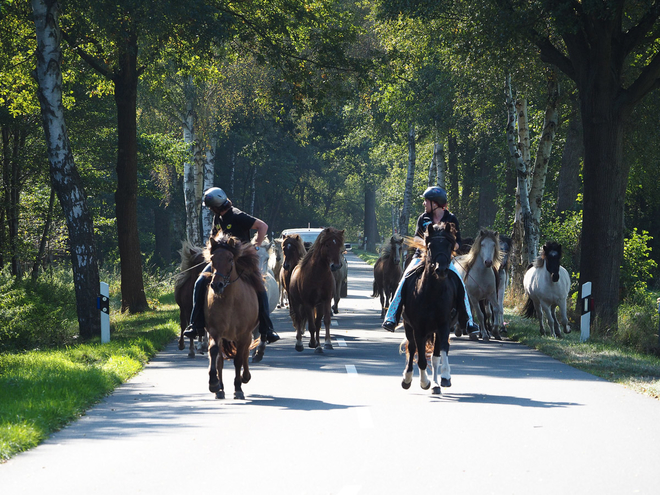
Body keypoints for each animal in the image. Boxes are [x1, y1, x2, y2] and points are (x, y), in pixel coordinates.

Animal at [204, 232, 262, 400]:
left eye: (230, 259)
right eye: (212, 259)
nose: (217, 285)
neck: (229, 300)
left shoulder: (243, 334)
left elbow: (238, 359)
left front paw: (238, 388)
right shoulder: (214, 332)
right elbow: (214, 353)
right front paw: (214, 384)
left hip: (246, 335)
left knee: (245, 354)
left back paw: (245, 377)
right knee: (220, 360)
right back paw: (221, 389)